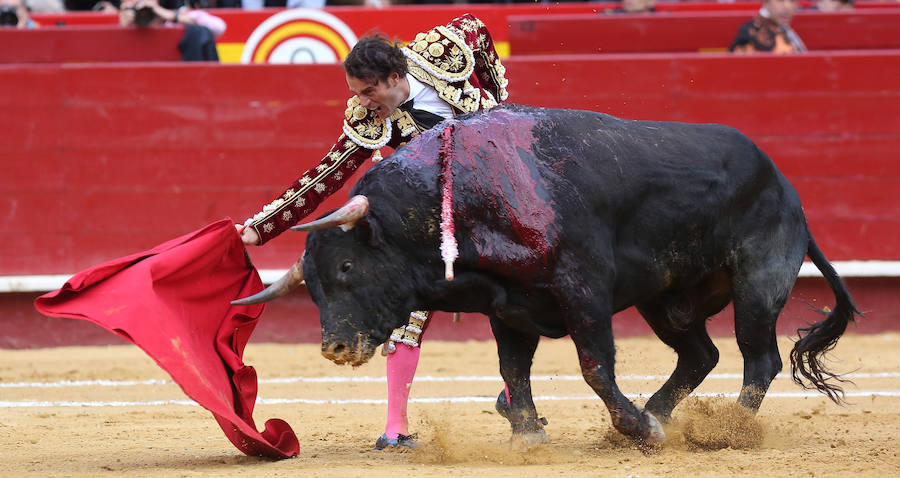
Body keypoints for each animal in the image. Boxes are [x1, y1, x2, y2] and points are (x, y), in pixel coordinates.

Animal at [239, 103, 856, 444]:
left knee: (760, 357)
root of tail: (784, 184)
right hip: (665, 300)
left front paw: (634, 429)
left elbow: (594, 367)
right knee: (701, 354)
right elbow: (513, 369)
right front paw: (530, 431)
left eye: (346, 265)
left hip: (757, 281)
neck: (463, 195)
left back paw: (726, 428)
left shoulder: (583, 290)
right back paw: (660, 415)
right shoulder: (508, 307)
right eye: (313, 287)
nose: (334, 348)